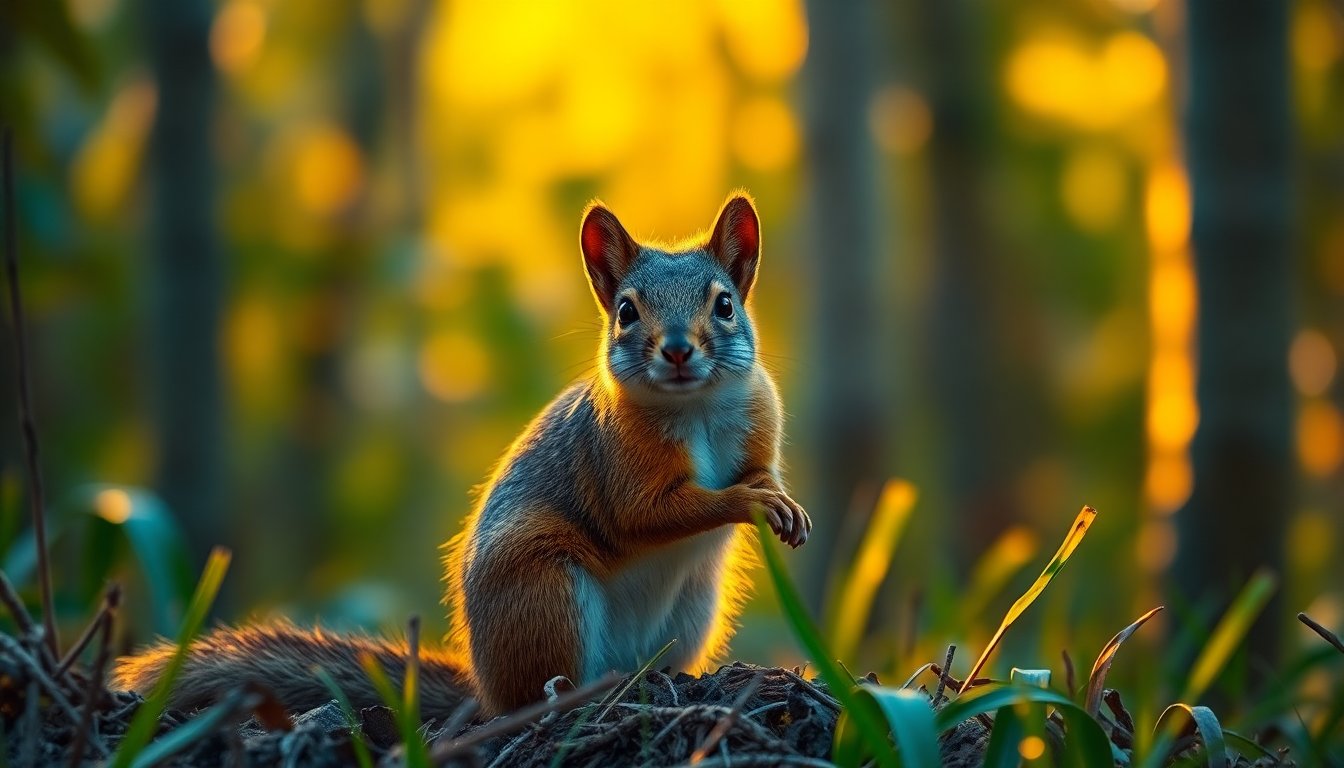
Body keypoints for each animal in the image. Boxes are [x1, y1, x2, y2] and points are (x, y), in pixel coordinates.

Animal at [113, 192, 810, 719]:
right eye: (625, 311)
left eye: (725, 304)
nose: (677, 350)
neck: (694, 410)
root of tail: (482, 687)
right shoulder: (616, 468)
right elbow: (650, 514)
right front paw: (746, 502)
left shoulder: (759, 426)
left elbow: (759, 471)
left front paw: (781, 501)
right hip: (544, 592)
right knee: (537, 690)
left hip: (690, 611)